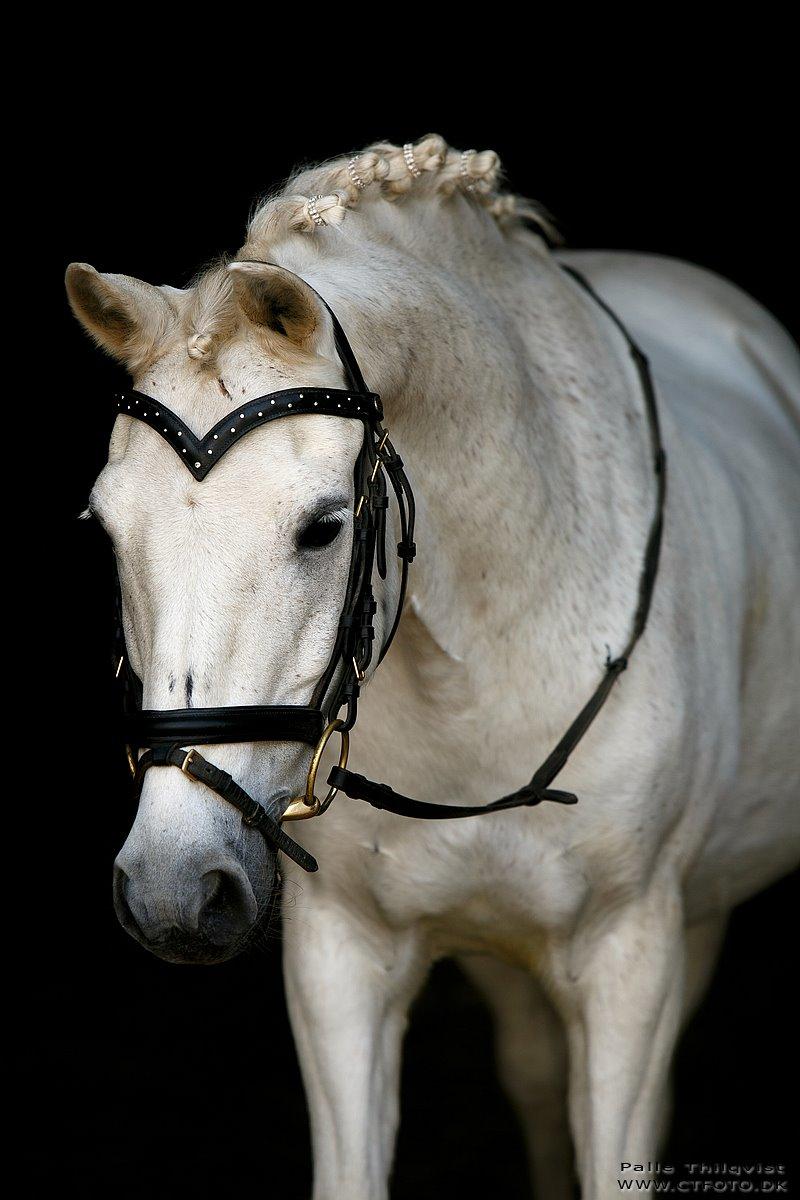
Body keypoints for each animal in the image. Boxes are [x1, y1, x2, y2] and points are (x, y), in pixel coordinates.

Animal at [65, 136, 796, 1195]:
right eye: (106, 528)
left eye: (323, 526)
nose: (172, 891)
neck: (484, 675)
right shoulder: (340, 960)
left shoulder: (634, 959)